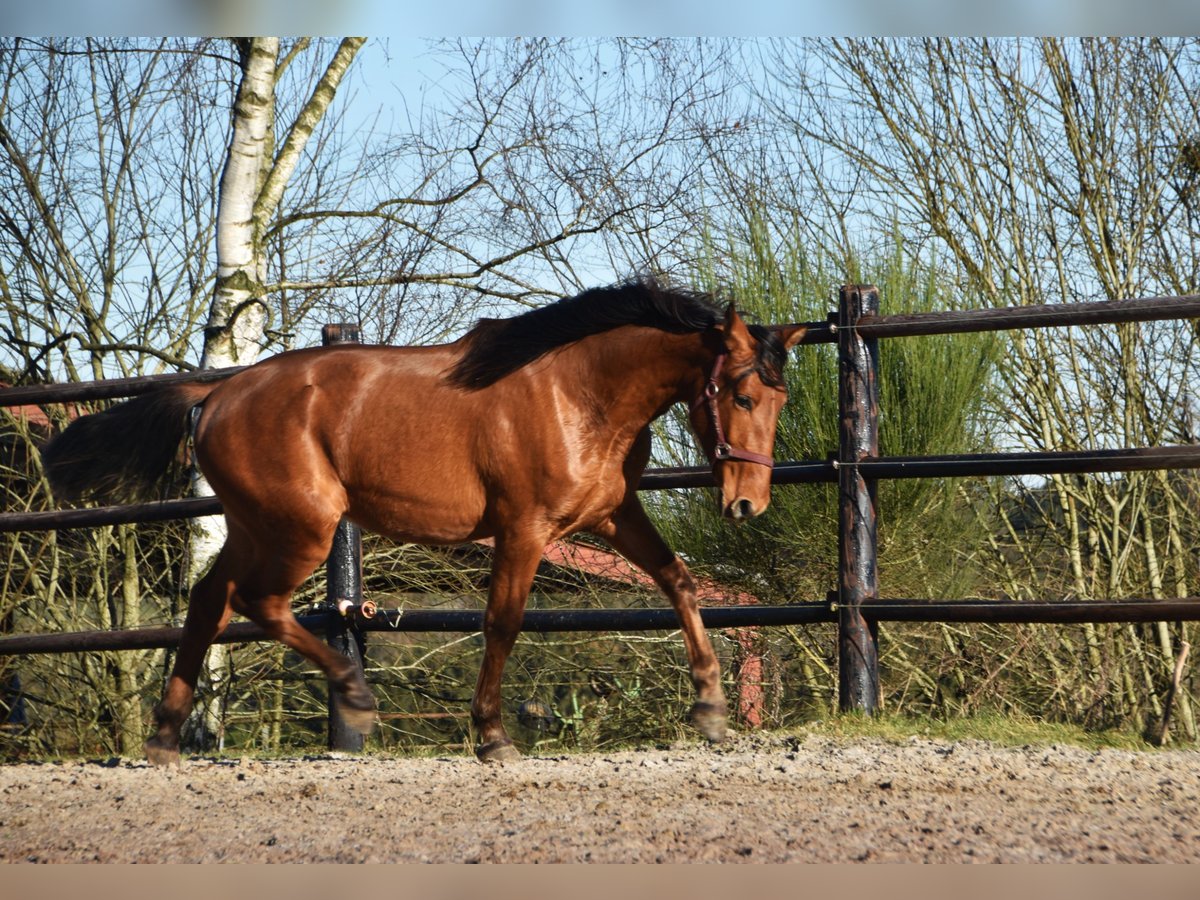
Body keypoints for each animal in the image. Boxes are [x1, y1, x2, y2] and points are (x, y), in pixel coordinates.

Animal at [42, 278, 806, 763]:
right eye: (742, 395)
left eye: (781, 399)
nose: (749, 504)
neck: (580, 391)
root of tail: (219, 390)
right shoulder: (524, 529)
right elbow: (502, 622)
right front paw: (492, 737)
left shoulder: (615, 516)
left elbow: (680, 583)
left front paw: (709, 709)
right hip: (302, 526)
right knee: (260, 602)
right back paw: (354, 697)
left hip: (258, 524)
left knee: (208, 600)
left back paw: (164, 739)